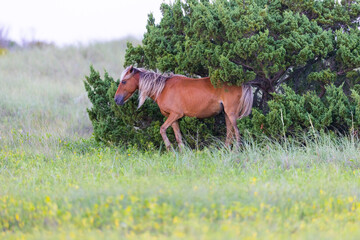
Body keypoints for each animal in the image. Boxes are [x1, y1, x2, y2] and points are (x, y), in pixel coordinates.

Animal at [115, 65, 253, 150]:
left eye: (124, 82)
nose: (116, 99)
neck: (163, 88)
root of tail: (240, 83)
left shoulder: (175, 114)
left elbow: (162, 129)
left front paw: (170, 150)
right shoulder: (173, 118)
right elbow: (178, 137)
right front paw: (182, 153)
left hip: (231, 114)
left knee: (237, 133)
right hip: (226, 114)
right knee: (230, 134)